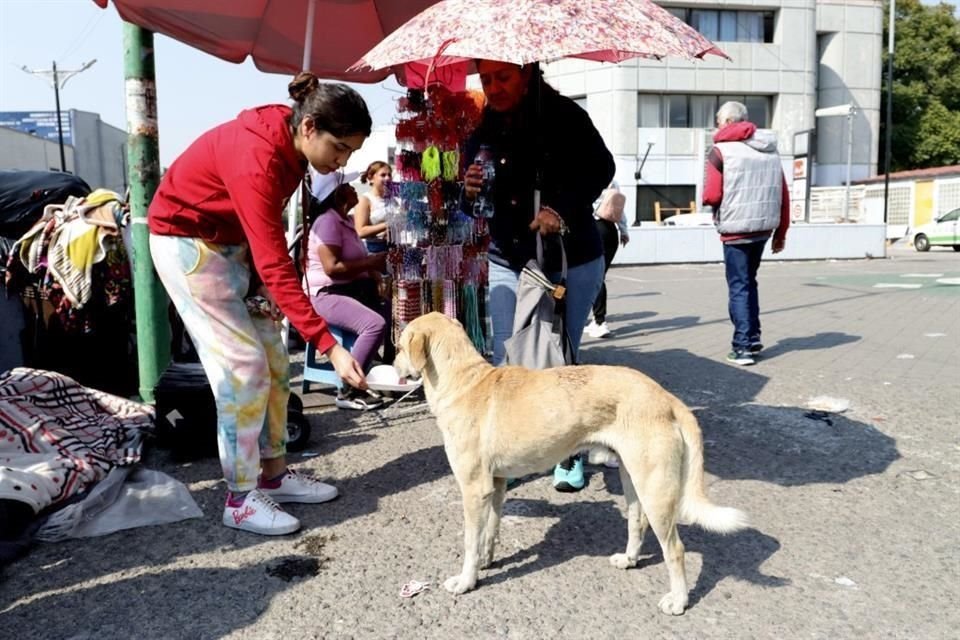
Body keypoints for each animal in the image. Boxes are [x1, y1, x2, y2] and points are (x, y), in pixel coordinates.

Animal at [392, 314, 752, 616]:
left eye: (398, 346)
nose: (393, 364)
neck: (466, 381)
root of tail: (667, 398)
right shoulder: (495, 485)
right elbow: (490, 531)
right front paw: (486, 561)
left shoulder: (473, 488)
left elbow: (470, 540)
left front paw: (467, 580)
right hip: (633, 480)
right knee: (637, 524)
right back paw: (629, 559)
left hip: (656, 490)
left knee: (675, 548)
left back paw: (678, 600)